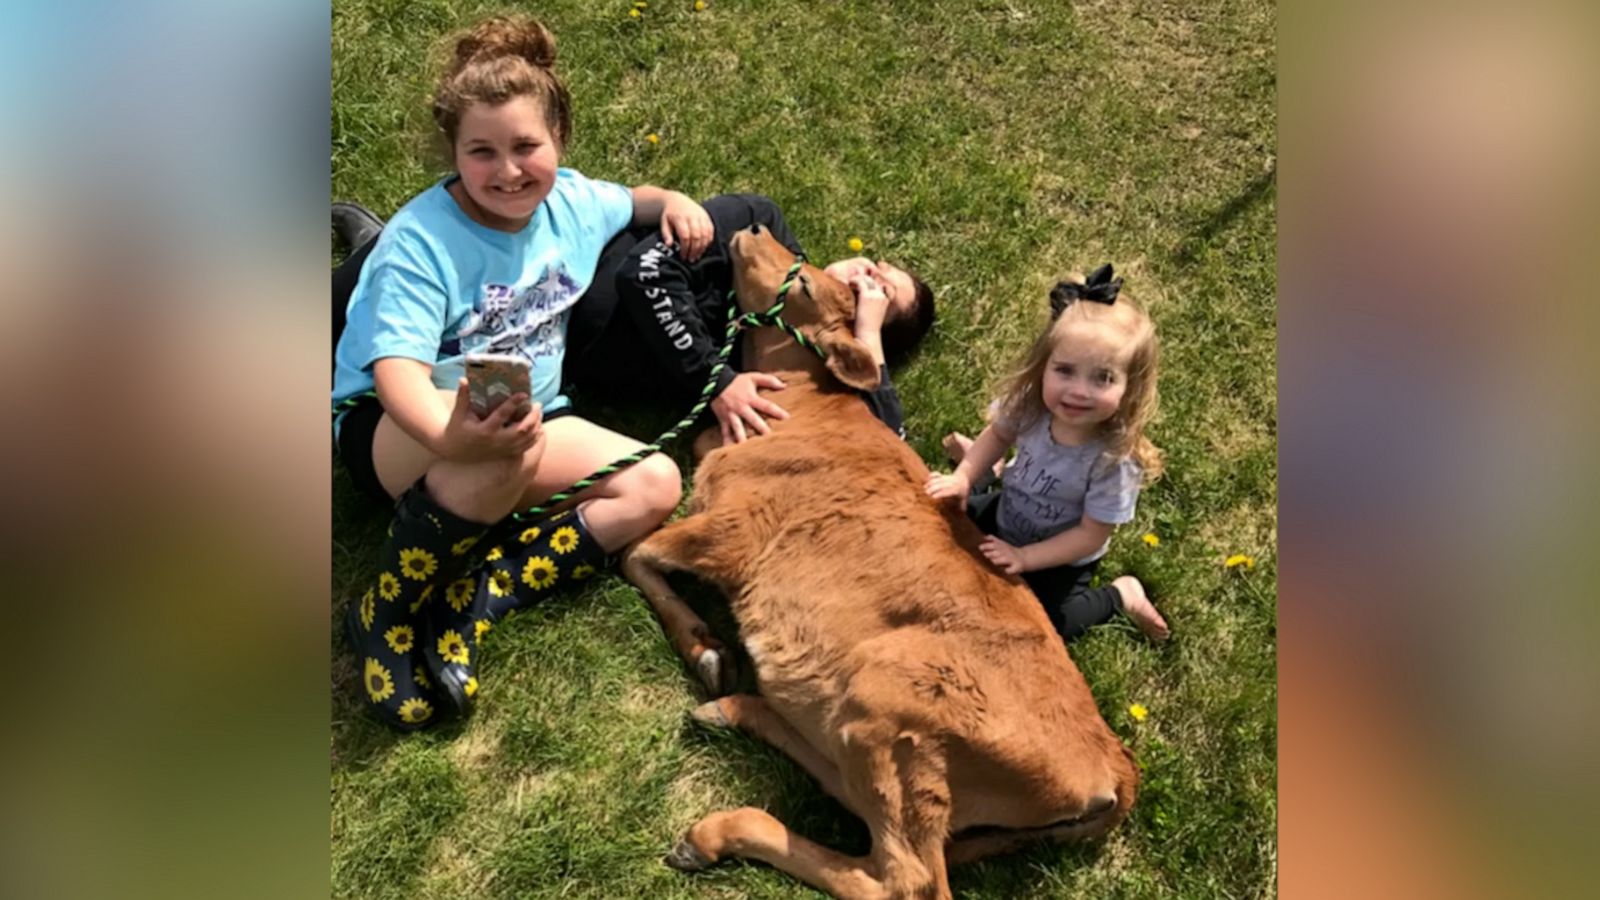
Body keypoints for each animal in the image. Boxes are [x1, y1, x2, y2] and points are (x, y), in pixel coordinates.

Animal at [624, 224, 1139, 896]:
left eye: (804, 282)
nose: (754, 228)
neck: (805, 403)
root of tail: (1113, 761)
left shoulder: (732, 529)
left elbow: (636, 553)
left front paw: (704, 648)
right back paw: (733, 711)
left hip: (888, 703)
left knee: (903, 877)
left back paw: (718, 829)